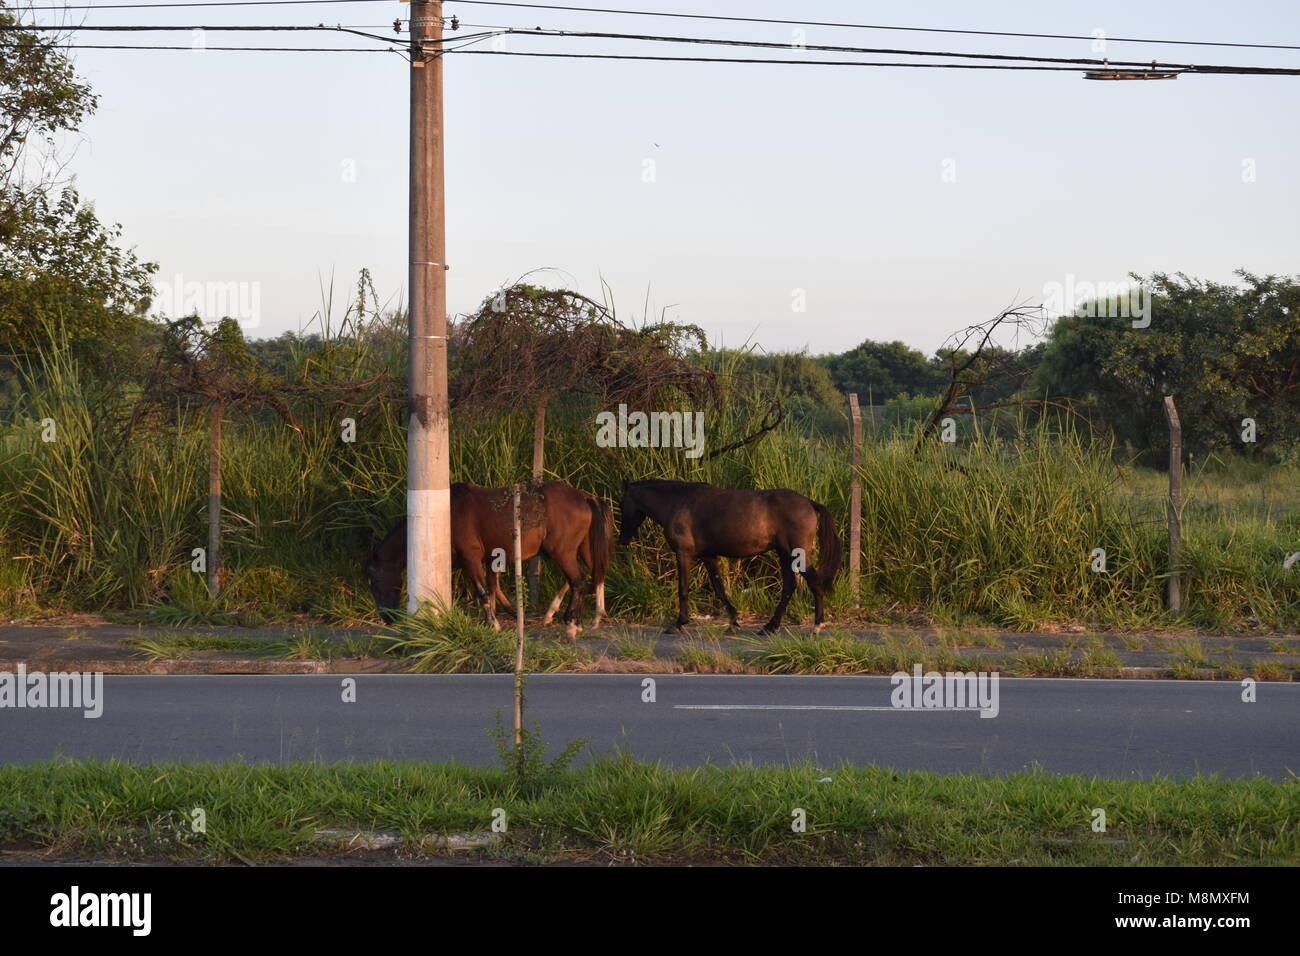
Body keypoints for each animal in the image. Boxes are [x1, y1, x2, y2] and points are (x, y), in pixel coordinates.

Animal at [364, 478, 611, 642]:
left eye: (375, 582)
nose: (386, 617)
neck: (447, 515)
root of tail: (584, 496)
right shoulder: (490, 559)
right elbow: (492, 590)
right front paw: (495, 618)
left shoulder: (471, 558)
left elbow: (483, 592)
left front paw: (493, 623)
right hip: (584, 549)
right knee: (594, 575)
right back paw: (587, 618)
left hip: (562, 551)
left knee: (578, 580)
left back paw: (571, 625)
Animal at [618, 478, 842, 634]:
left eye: (621, 505)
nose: (622, 538)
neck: (678, 502)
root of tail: (809, 503)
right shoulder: (709, 556)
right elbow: (719, 589)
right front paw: (734, 622)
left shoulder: (683, 554)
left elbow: (683, 588)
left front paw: (679, 623)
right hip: (785, 554)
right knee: (789, 587)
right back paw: (769, 627)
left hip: (797, 554)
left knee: (814, 583)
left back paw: (817, 625)